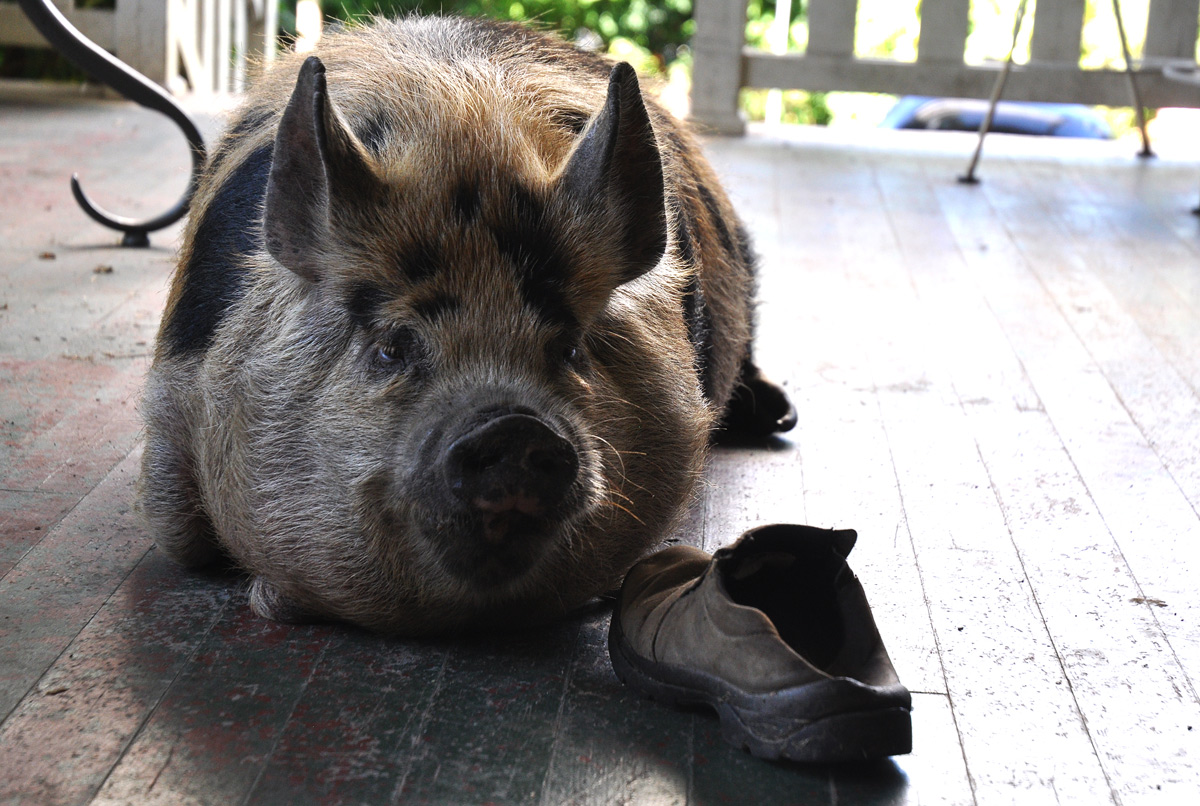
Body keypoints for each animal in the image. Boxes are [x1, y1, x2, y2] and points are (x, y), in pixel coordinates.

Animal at [139, 15, 796, 635]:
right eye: (392, 346)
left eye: (571, 348)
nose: (513, 425)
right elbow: (177, 535)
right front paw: (272, 600)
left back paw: (779, 417)